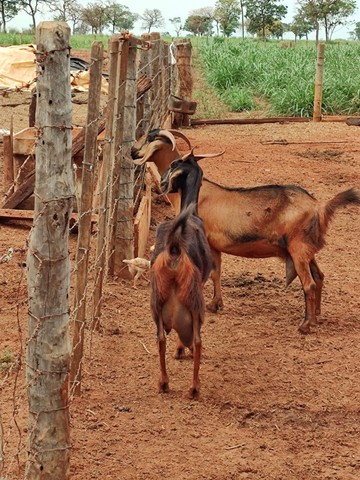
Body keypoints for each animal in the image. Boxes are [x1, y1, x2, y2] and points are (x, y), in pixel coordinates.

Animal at [132, 128, 360, 334]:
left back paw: (305, 325)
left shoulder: (207, 243)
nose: (133, 151)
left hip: (298, 249)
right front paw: (216, 304)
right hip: (306, 250)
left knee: (309, 283)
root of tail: (319, 206)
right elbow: (216, 273)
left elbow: (210, 273)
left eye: (150, 138)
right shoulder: (215, 246)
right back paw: (317, 317)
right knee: (319, 276)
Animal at [150, 153, 212, 398]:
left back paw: (163, 383)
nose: (162, 183)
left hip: (156, 303)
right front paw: (180, 349)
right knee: (197, 340)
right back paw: (194, 387)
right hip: (195, 302)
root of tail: (175, 249)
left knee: (160, 338)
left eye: (173, 165)